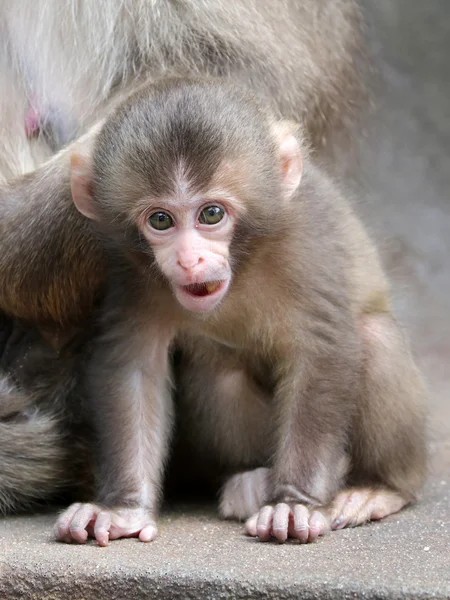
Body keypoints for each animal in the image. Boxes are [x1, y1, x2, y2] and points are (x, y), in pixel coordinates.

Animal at [58, 77, 428, 548]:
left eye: (211, 213)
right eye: (160, 220)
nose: (190, 260)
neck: (246, 260)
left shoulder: (308, 241)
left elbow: (323, 353)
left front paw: (294, 504)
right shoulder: (130, 272)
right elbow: (134, 367)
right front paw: (122, 509)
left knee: (375, 337)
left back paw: (377, 487)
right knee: (221, 372)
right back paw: (254, 479)